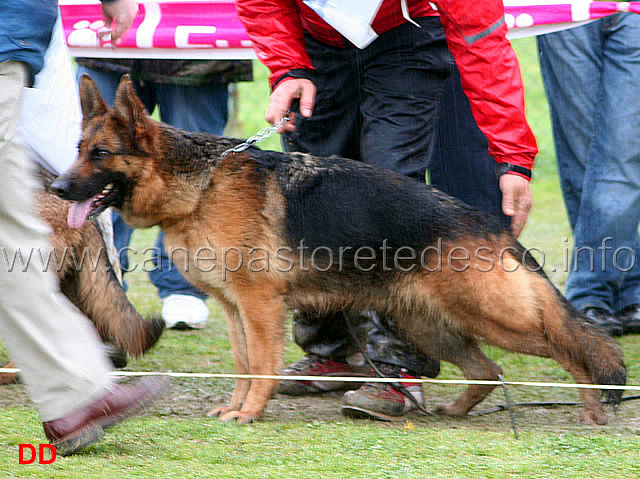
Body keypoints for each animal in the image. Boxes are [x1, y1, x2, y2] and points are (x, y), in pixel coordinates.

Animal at [53, 77, 624, 426]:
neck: (199, 187)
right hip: (431, 325)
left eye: (100, 154)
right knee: (490, 371)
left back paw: (592, 405)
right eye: (77, 151)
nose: (57, 188)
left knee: (573, 344)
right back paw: (459, 411)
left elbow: (261, 366)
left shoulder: (260, 308)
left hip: (493, 316)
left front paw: (250, 413)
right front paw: (235, 408)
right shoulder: (236, 310)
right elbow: (242, 364)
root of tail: (491, 222)